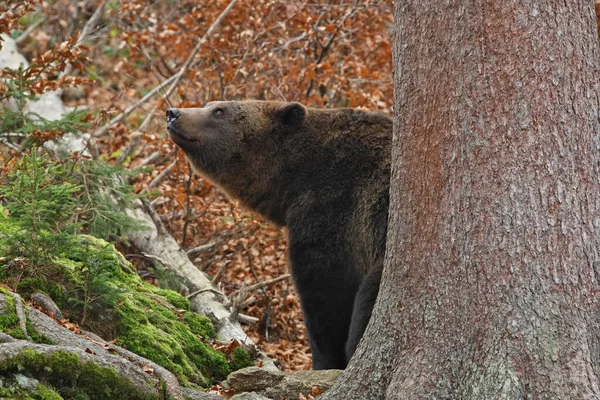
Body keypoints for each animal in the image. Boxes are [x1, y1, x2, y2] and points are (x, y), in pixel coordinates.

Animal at [166, 101, 392, 368]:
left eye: (220, 110)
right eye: (210, 105)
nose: (173, 113)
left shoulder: (332, 215)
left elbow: (327, 298)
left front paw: (326, 361)